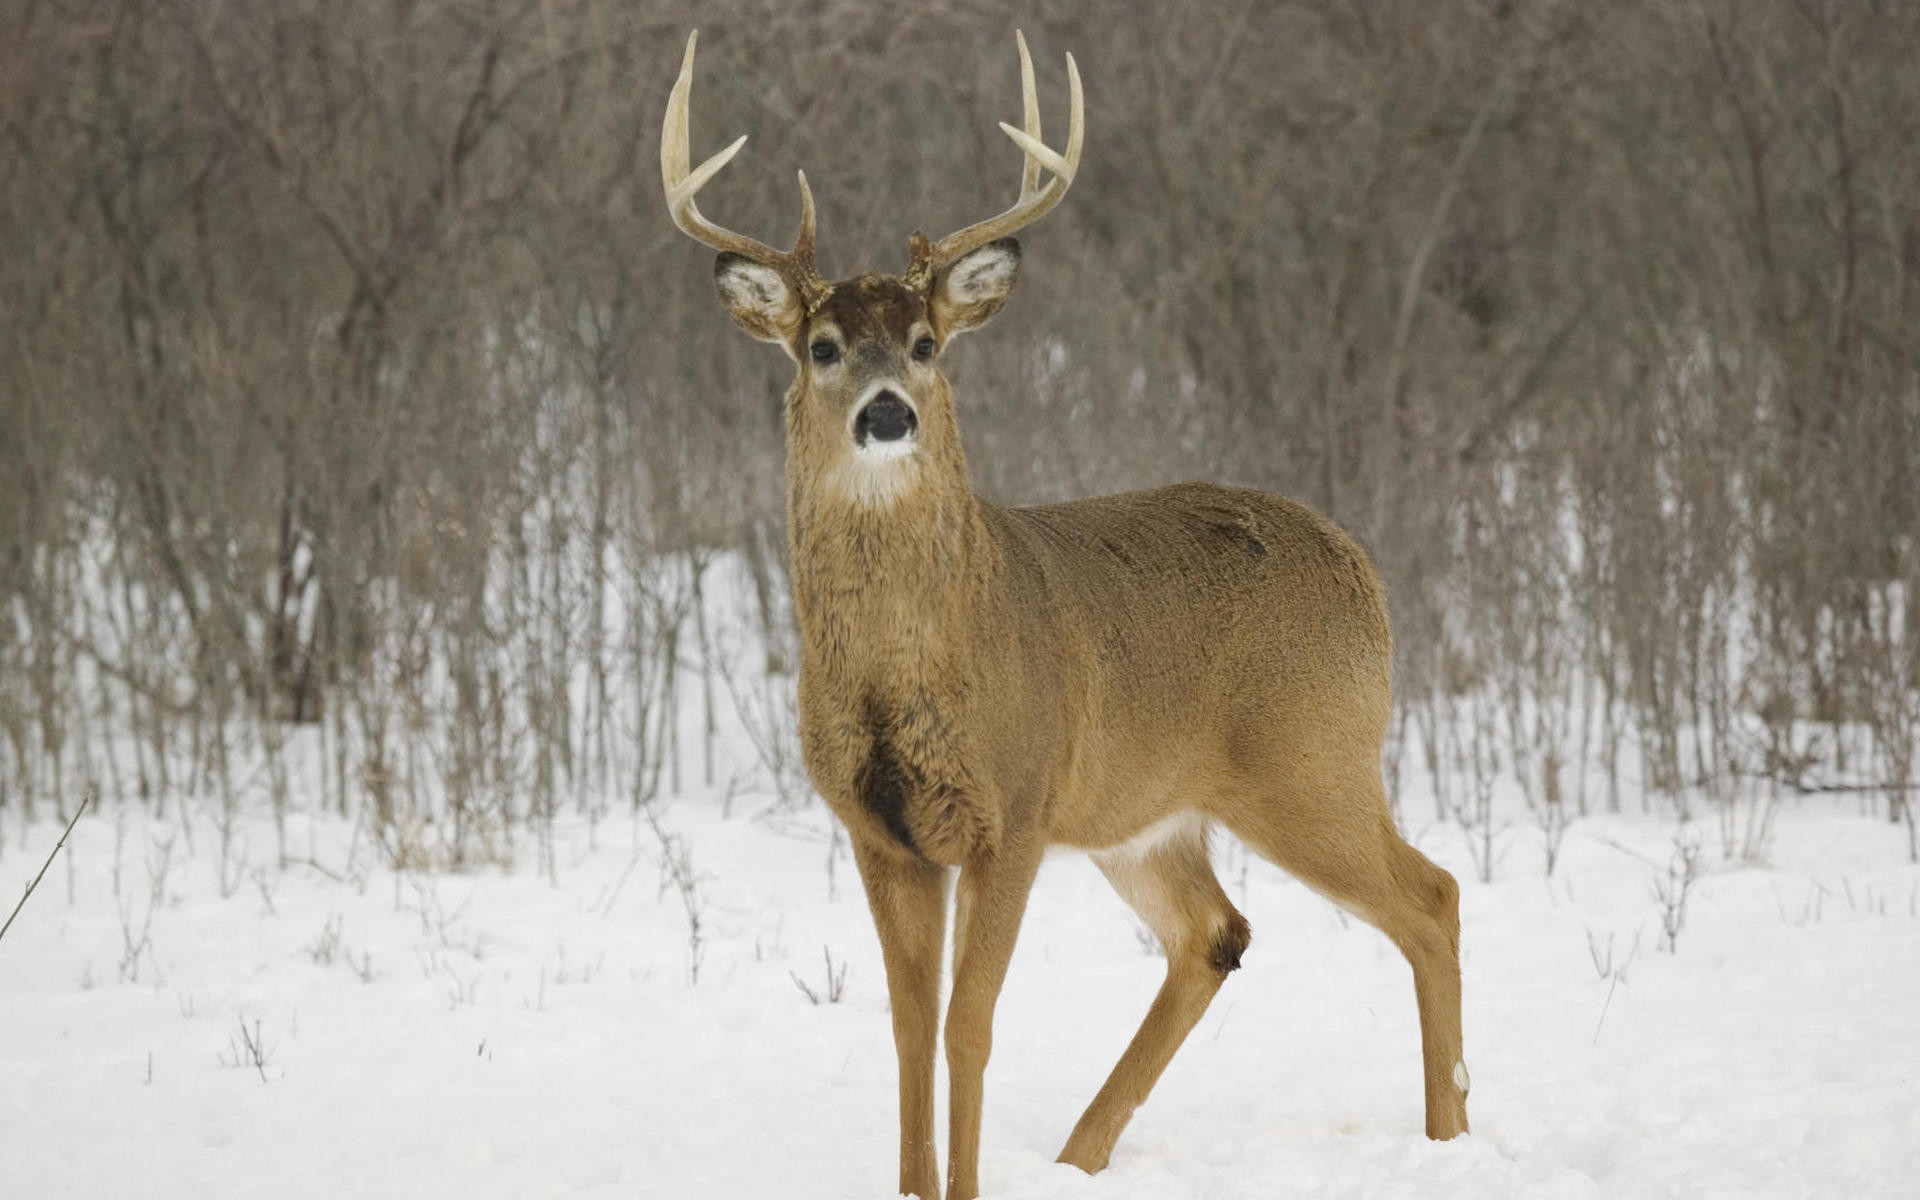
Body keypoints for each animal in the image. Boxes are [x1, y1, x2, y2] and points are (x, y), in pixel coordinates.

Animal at [661, 30, 1469, 1200]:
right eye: (822, 346)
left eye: (925, 342)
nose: (888, 413)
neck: (911, 668)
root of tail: (1361, 565)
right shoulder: (879, 830)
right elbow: (907, 1031)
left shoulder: (1016, 806)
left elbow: (969, 1027)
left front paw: (961, 1186)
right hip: (1147, 812)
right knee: (1216, 932)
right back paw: (1082, 1157)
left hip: (1310, 761)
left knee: (1431, 897)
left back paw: (1451, 1139)